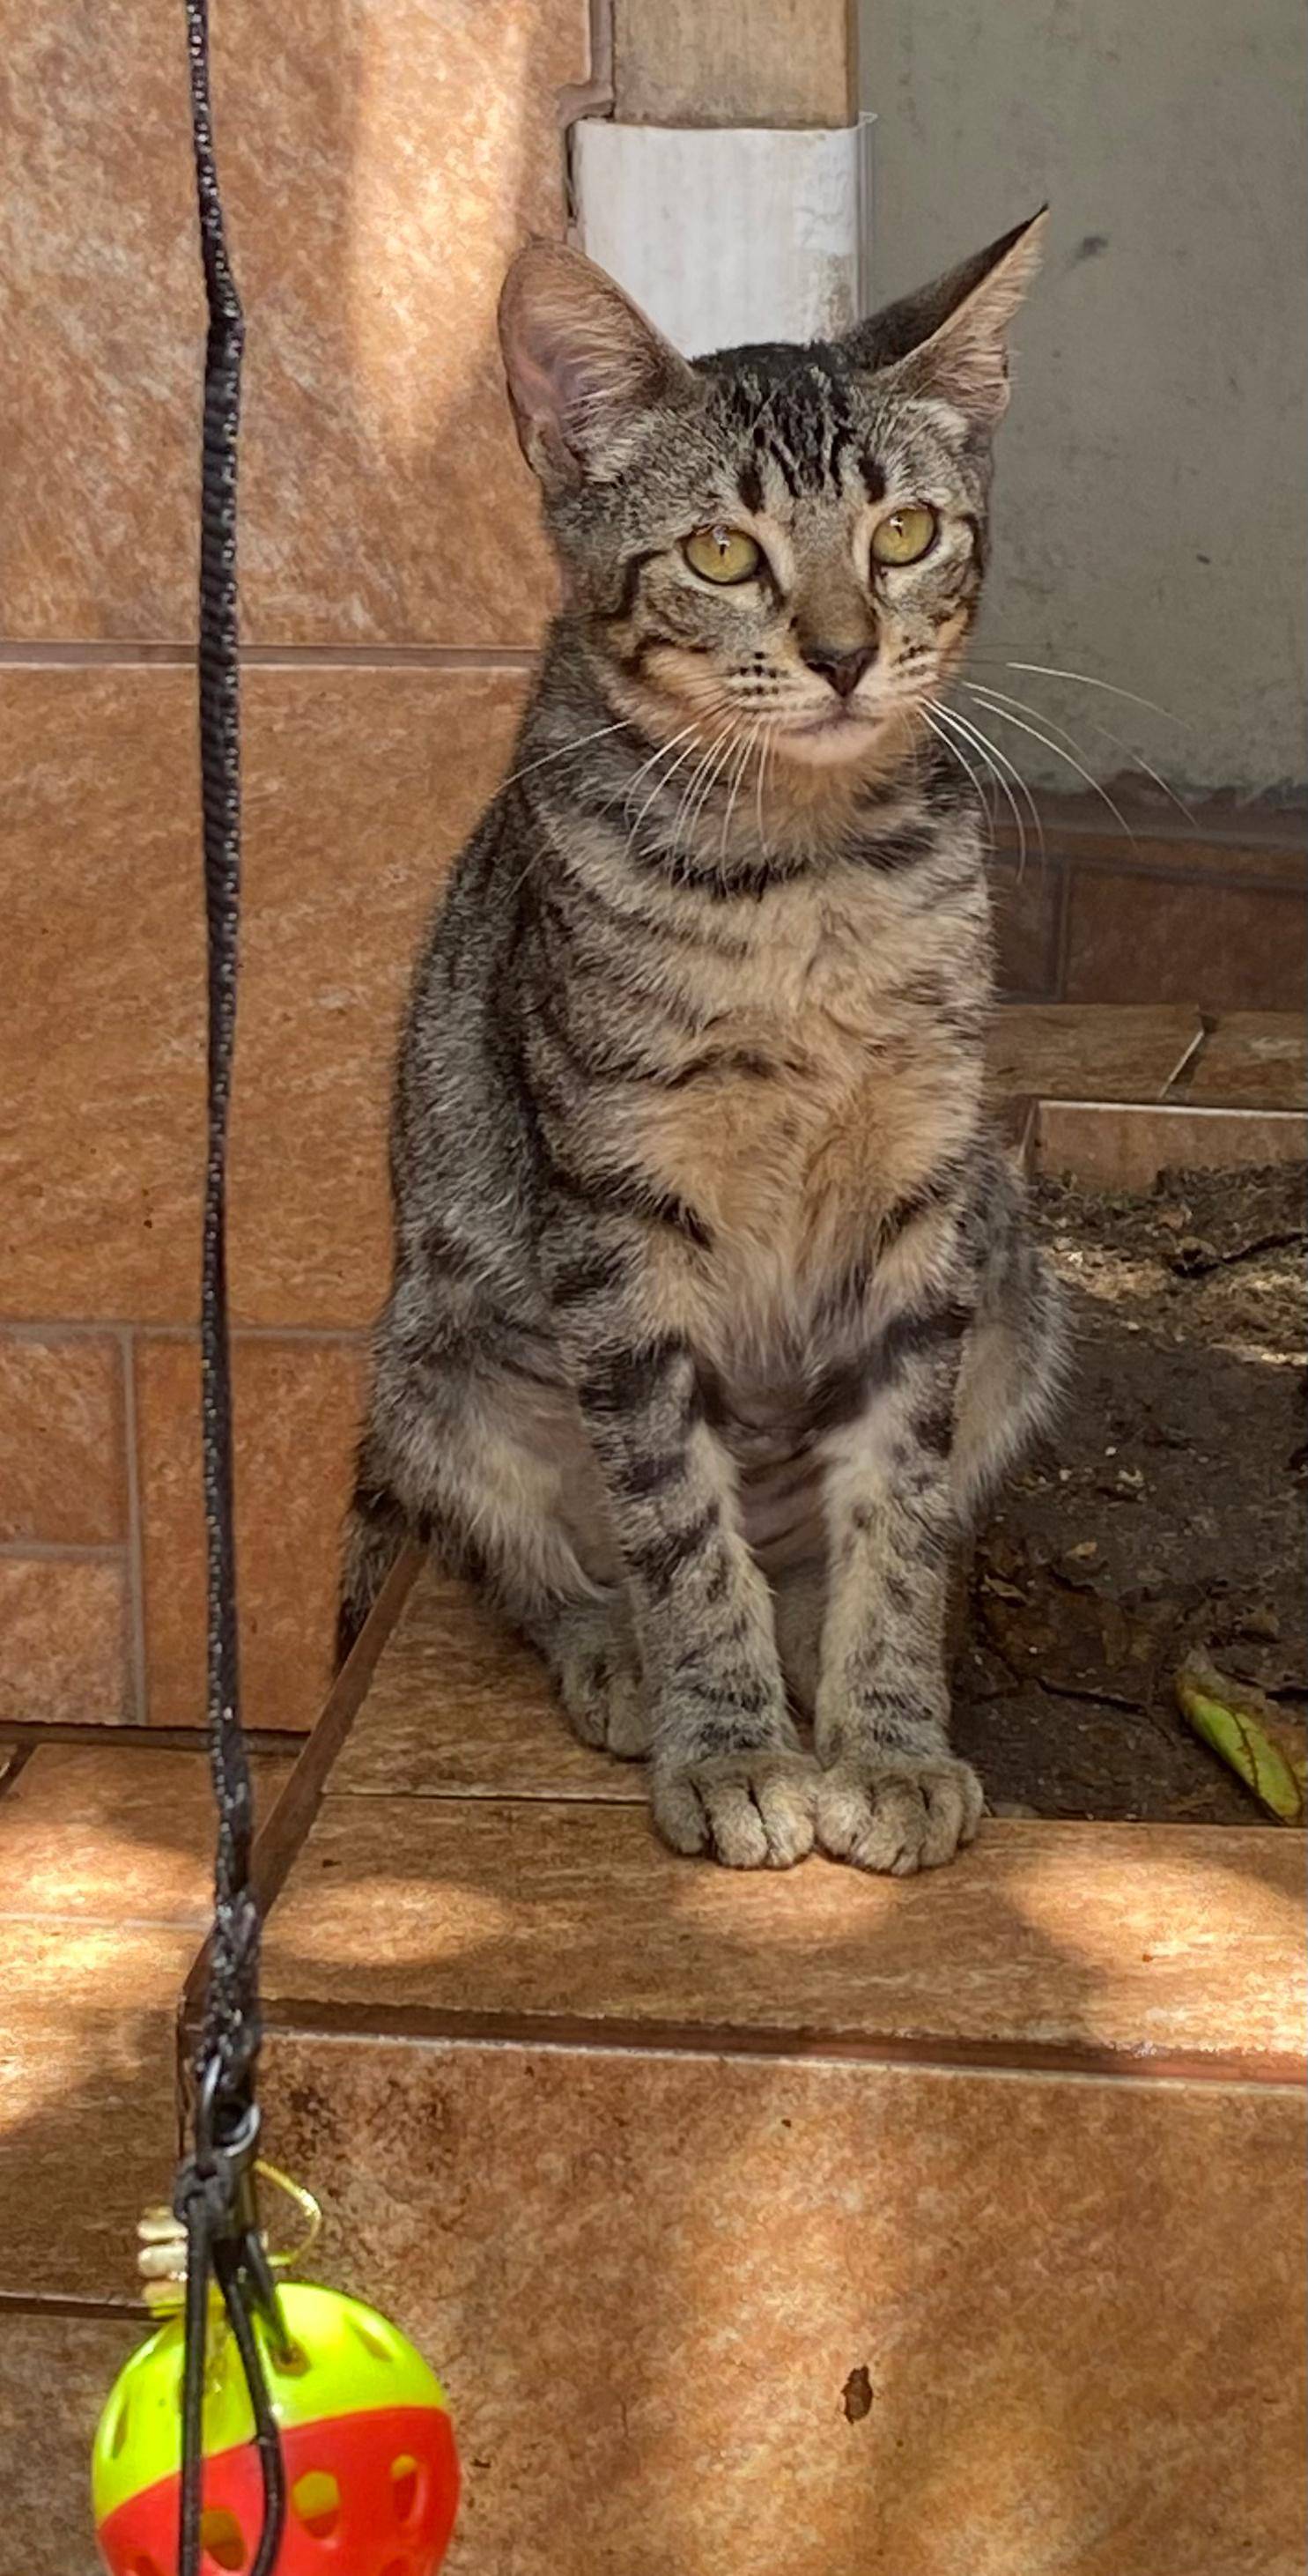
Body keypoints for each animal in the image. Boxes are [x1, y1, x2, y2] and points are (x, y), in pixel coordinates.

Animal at [338, 211, 1065, 1875]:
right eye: (722, 553)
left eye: (905, 534)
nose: (847, 654)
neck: (805, 878)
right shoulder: (615, 1220)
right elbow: (676, 1523)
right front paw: (730, 1745)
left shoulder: (925, 1200)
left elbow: (899, 1514)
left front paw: (889, 1740)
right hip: (434, 1357)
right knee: (540, 1560)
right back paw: (620, 1656)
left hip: (1016, 1275)